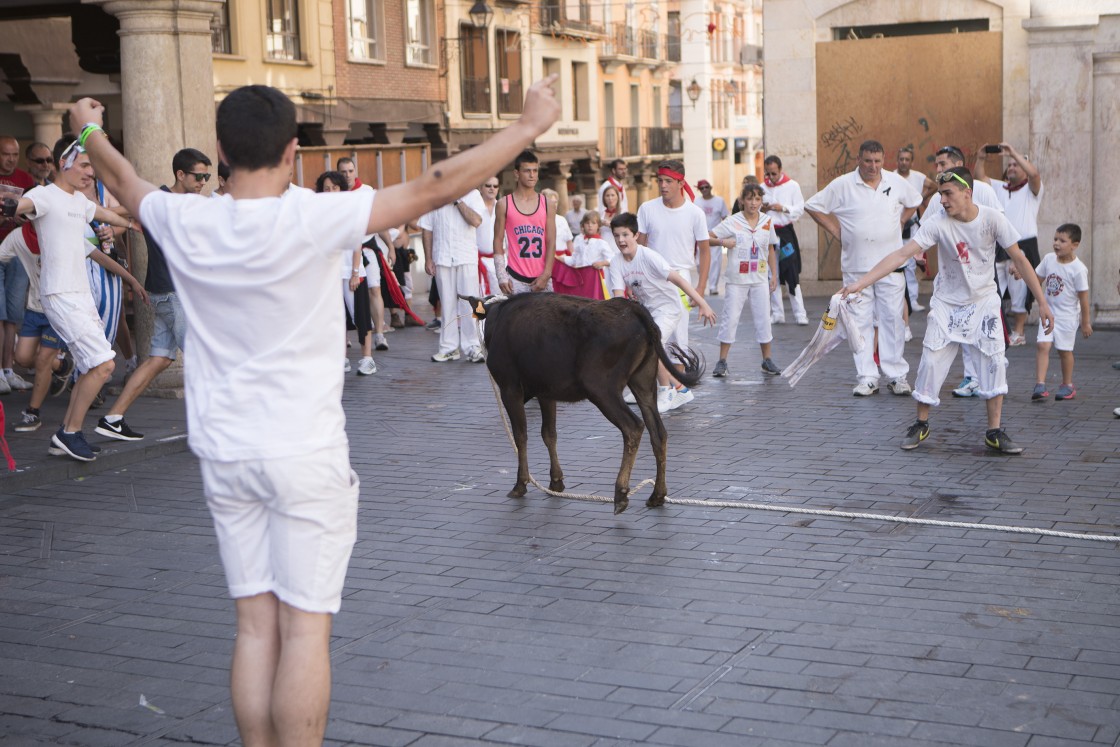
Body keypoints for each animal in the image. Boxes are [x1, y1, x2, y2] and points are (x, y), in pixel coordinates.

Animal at [468, 291, 703, 515]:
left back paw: (621, 494)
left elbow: (521, 436)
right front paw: (556, 481)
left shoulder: (510, 388)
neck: (497, 318)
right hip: (643, 382)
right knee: (658, 432)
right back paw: (657, 495)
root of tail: (632, 307)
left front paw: (520, 484)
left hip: (601, 388)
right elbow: (549, 434)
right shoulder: (546, 392)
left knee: (634, 427)